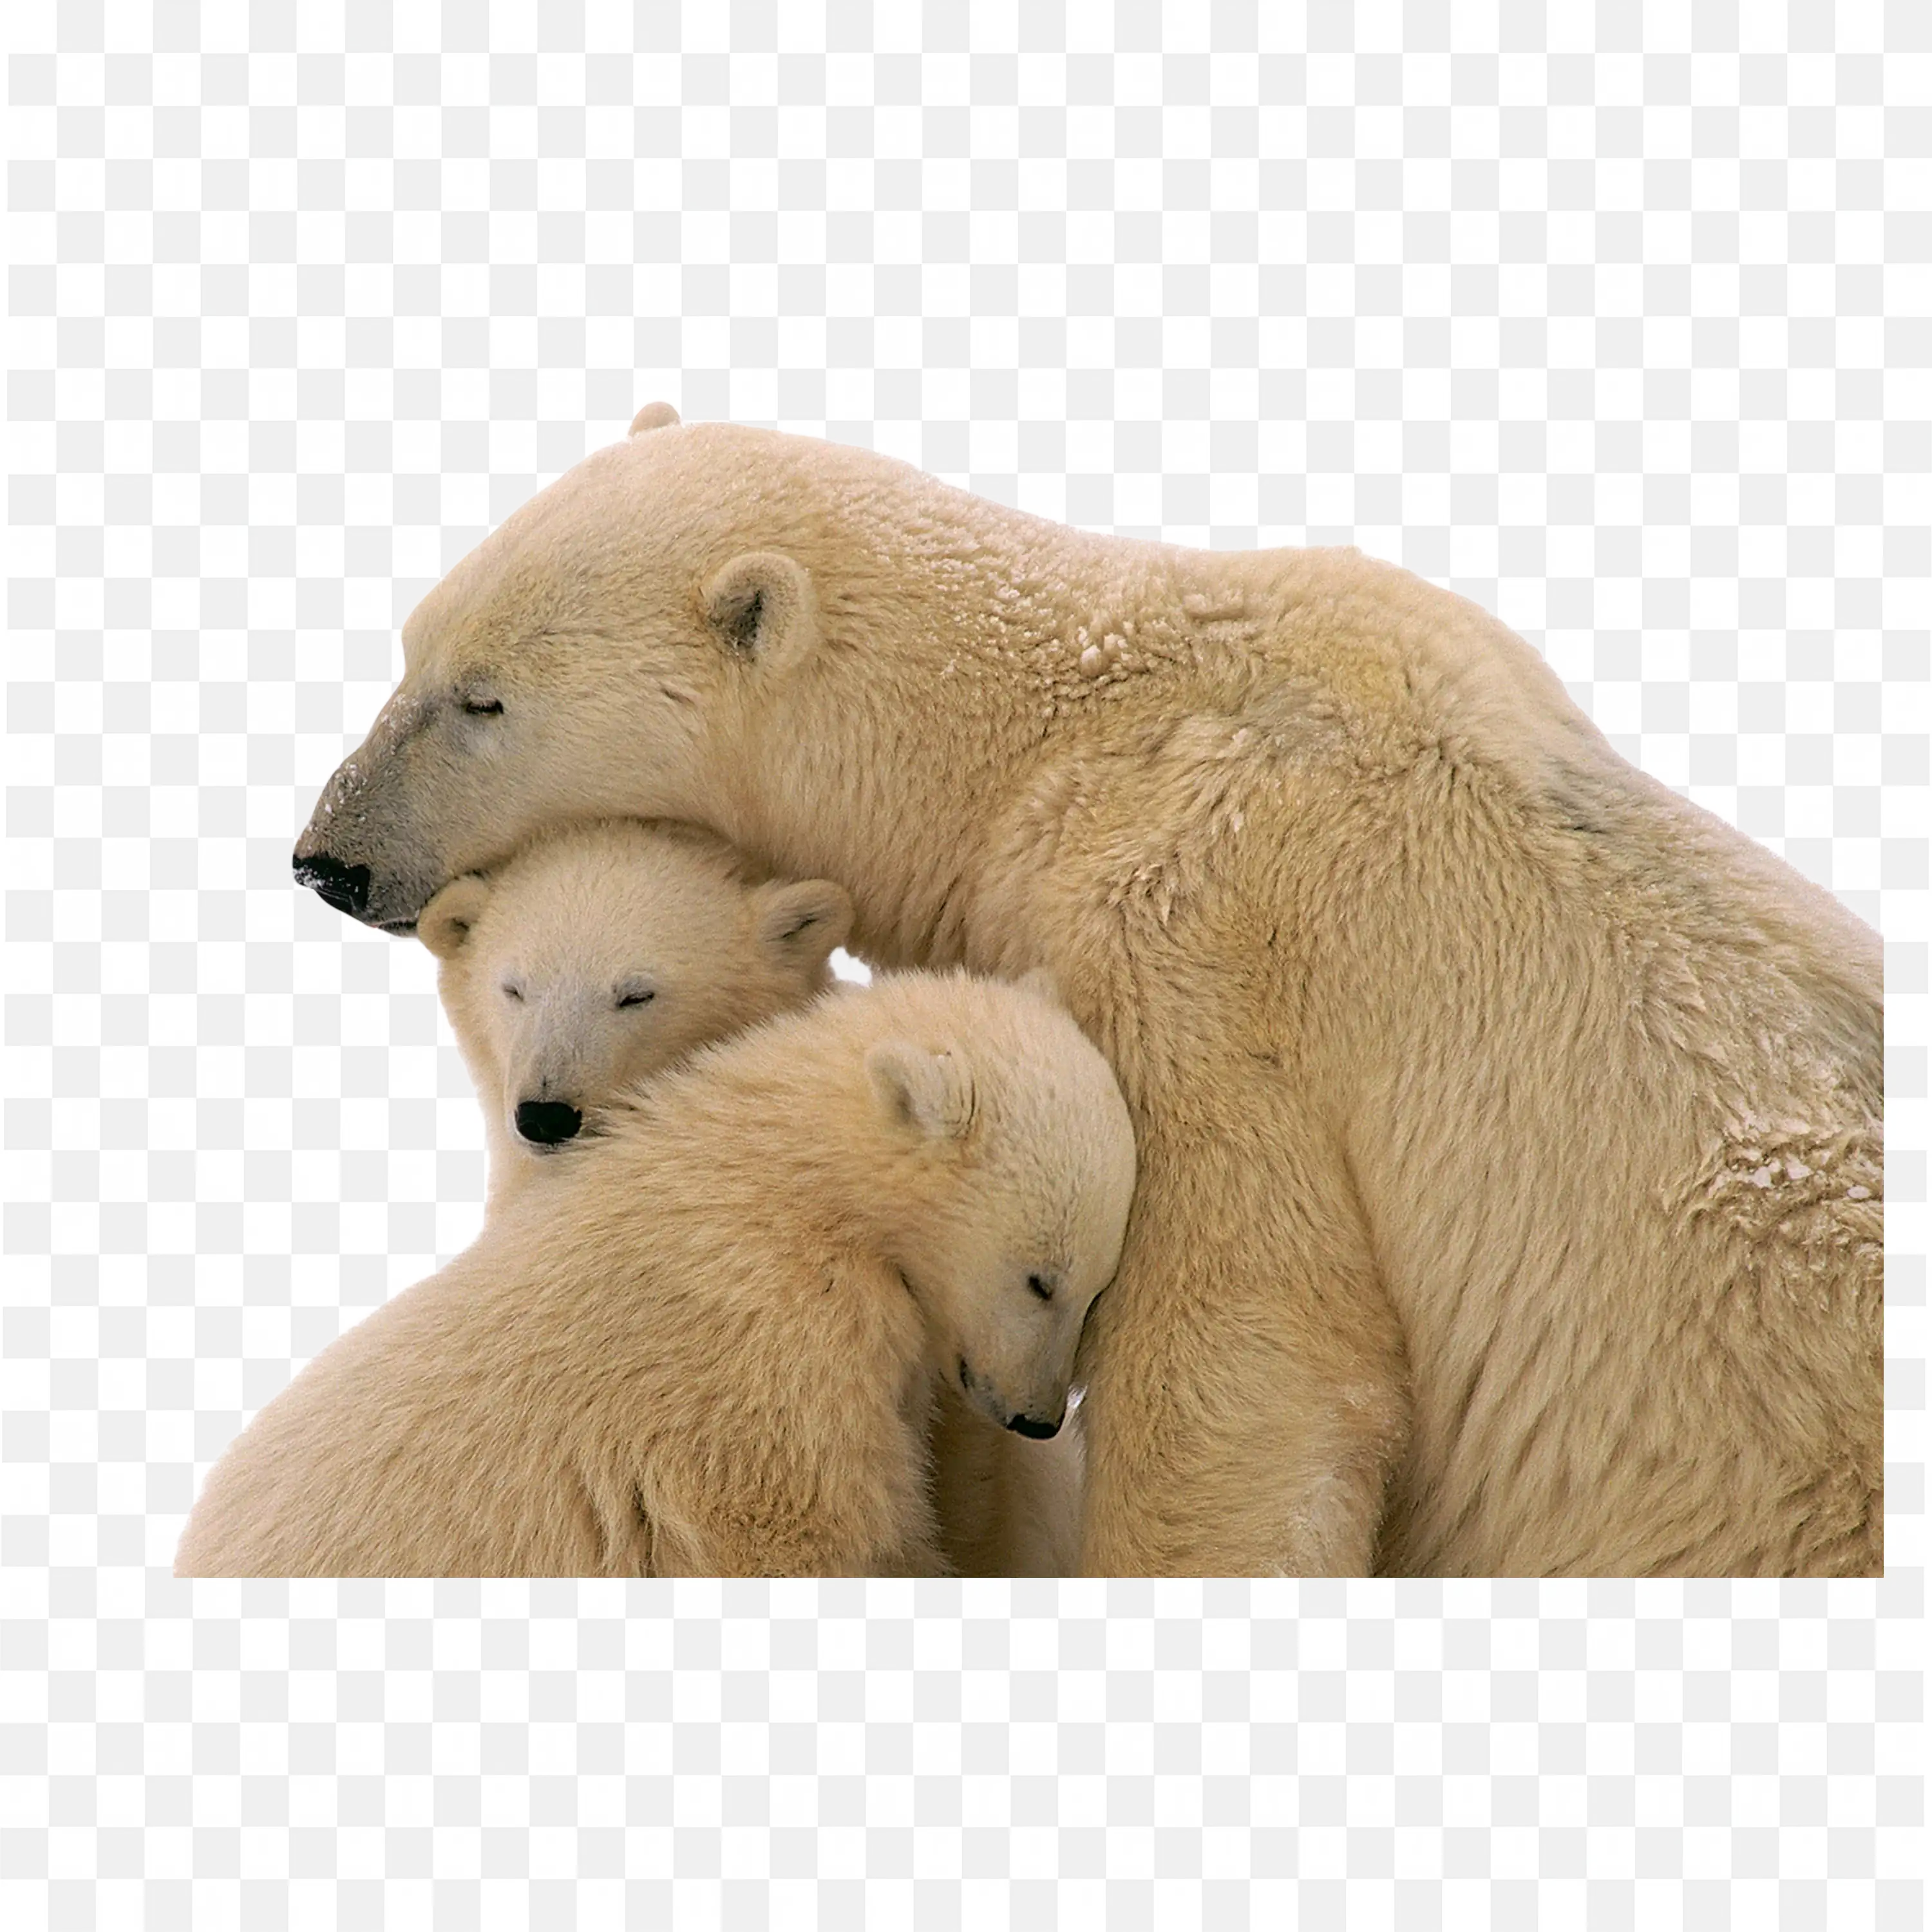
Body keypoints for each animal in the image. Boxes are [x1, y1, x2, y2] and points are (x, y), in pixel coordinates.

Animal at [172, 969, 1137, 1578]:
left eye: (1098, 1288)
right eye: (1041, 1279)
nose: (1039, 1418)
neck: (789, 1181)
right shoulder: (764, 1349)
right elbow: (806, 1527)